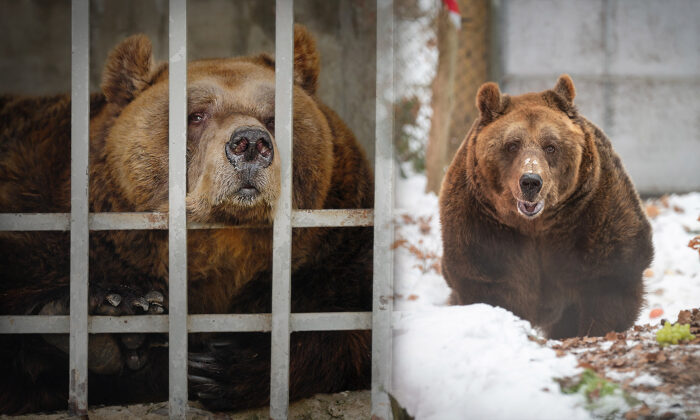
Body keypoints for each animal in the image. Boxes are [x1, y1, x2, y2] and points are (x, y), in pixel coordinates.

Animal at [0, 24, 374, 412]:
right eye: (196, 115)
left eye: (273, 117)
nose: (250, 142)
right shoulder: (43, 208)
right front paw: (113, 310)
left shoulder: (336, 248)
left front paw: (224, 367)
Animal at [440, 74, 652, 338]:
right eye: (512, 144)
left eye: (551, 146)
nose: (531, 181)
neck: (536, 226)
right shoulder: (482, 224)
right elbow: (488, 280)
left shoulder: (593, 215)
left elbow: (608, 279)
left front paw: (593, 329)